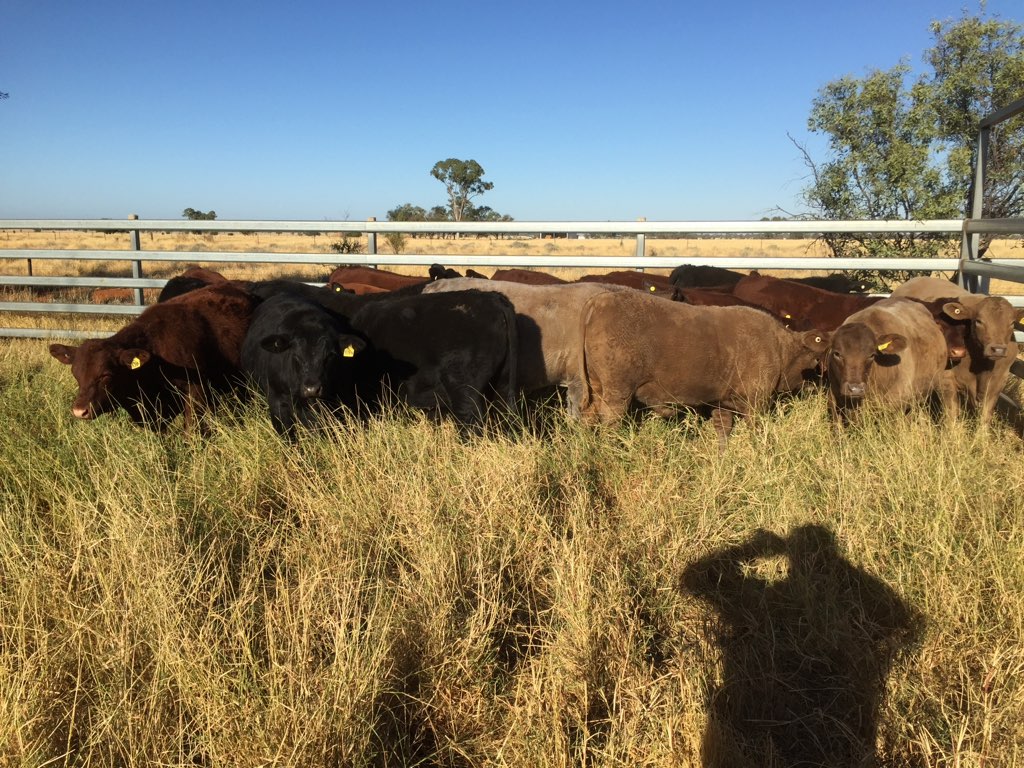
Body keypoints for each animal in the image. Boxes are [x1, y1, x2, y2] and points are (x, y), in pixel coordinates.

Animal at [576, 290, 832, 448]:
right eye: (817, 360)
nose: (821, 386)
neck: (780, 347)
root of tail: (598, 302)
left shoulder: (722, 405)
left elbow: (723, 434)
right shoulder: (756, 404)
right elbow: (757, 432)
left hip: (596, 388)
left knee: (589, 418)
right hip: (617, 393)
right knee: (610, 422)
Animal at [892, 277, 1024, 424]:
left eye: (1012, 323)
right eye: (978, 321)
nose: (998, 349)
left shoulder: (998, 383)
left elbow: (985, 417)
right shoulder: (945, 381)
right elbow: (952, 414)